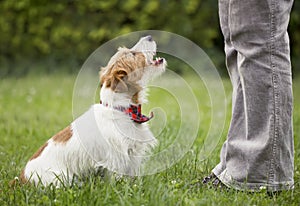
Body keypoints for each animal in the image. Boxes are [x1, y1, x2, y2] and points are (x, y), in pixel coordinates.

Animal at [15, 35, 166, 187]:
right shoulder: (117, 158)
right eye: (132, 54)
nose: (149, 36)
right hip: (62, 179)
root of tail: (22, 178)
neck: (121, 109)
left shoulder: (133, 155)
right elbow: (119, 179)